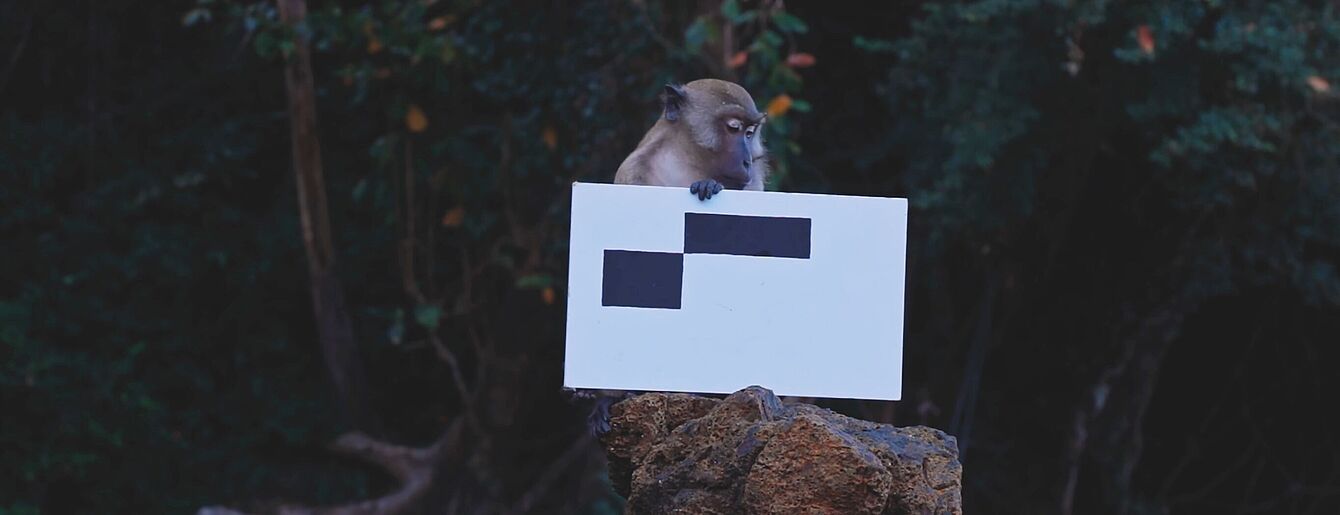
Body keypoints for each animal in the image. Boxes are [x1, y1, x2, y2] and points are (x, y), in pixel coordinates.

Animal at [614, 78, 769, 200]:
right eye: (733, 128)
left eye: (749, 133)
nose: (747, 162)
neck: (684, 162)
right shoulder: (632, 171)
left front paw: (708, 185)